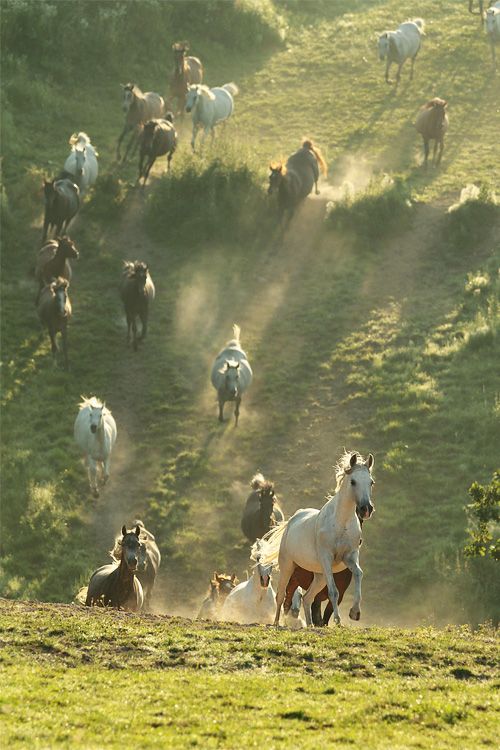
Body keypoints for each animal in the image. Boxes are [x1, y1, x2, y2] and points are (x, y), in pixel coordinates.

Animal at [260, 452, 374, 628]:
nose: (366, 509)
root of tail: (293, 520)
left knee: (307, 598)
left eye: (371, 482)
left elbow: (359, 574)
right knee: (281, 596)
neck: (341, 523)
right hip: (288, 566)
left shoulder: (349, 557)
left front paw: (355, 612)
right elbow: (333, 592)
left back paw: (310, 625)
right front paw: (338, 620)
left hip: (319, 575)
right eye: (353, 481)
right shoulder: (327, 558)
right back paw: (277, 623)